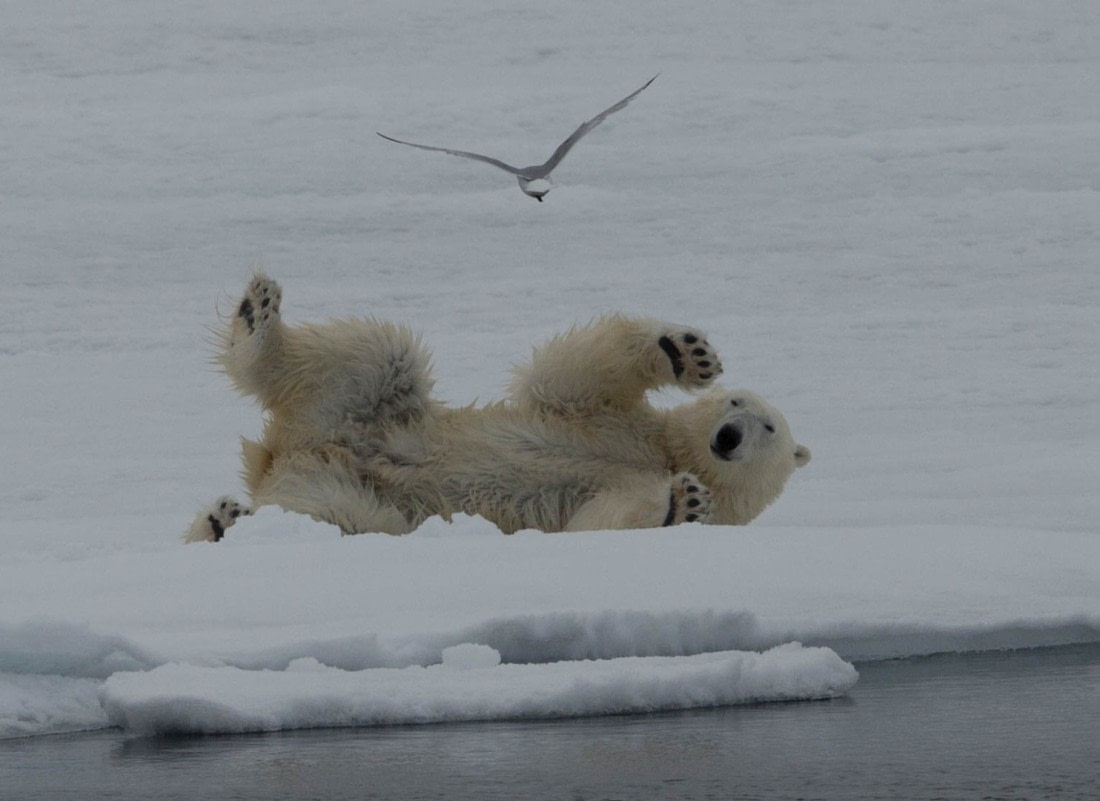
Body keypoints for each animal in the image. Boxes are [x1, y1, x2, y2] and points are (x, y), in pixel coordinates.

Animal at [185, 273, 810, 542]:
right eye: (735, 401)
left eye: (768, 427)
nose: (729, 435)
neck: (667, 453)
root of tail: (282, 456)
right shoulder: (610, 419)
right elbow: (569, 373)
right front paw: (687, 352)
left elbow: (601, 518)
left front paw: (682, 502)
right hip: (359, 407)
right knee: (372, 354)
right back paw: (257, 316)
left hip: (350, 492)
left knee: (350, 518)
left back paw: (225, 520)